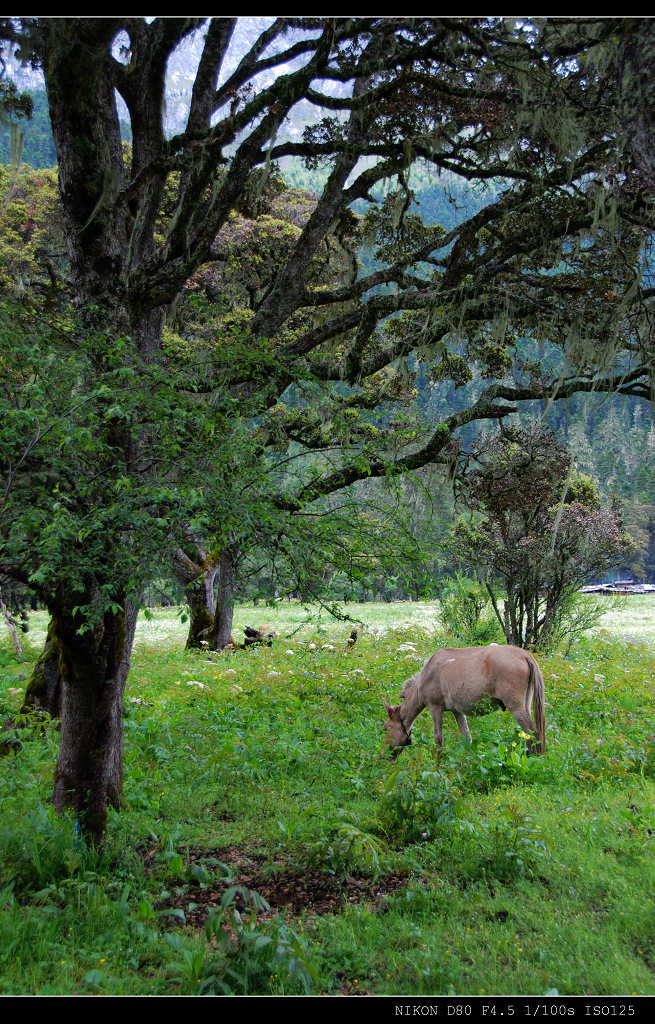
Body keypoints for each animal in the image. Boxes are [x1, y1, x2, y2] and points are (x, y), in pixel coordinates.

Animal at [380, 643, 544, 757]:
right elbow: (467, 738)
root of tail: (524, 655)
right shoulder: (457, 712)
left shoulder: (435, 708)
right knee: (530, 736)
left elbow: (438, 740)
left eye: (386, 728)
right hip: (525, 704)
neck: (425, 677)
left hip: (516, 707)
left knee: (534, 733)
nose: (383, 756)